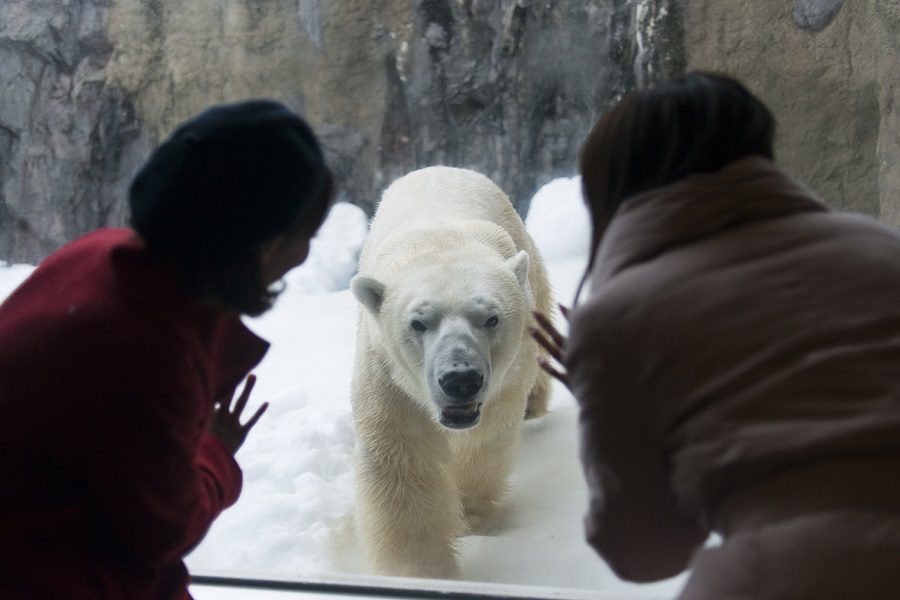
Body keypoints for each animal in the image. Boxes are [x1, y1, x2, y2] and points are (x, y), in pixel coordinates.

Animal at [348, 166, 552, 580]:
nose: (460, 379)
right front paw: (418, 571)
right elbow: (401, 461)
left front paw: (472, 520)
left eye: (491, 318)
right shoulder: (389, 377)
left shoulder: (504, 382)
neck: (440, 243)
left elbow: (481, 443)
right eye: (418, 323)